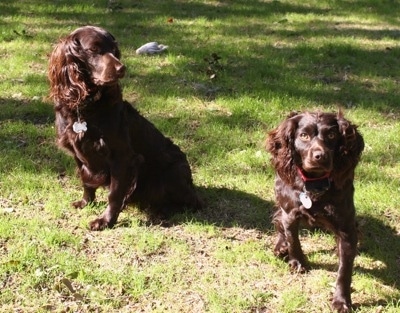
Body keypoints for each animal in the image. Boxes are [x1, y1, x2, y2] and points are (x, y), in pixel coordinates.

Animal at [48, 26, 202, 229]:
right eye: (94, 49)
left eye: (114, 50)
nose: (122, 69)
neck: (86, 107)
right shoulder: (78, 154)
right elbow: (86, 181)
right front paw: (86, 202)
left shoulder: (122, 157)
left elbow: (114, 194)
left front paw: (105, 221)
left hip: (173, 173)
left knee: (192, 202)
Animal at [268, 111, 364, 310]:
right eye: (304, 135)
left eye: (332, 135)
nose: (320, 156)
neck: (315, 184)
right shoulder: (290, 214)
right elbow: (293, 239)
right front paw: (298, 262)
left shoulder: (346, 228)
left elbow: (345, 269)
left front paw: (341, 301)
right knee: (279, 221)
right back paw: (281, 246)